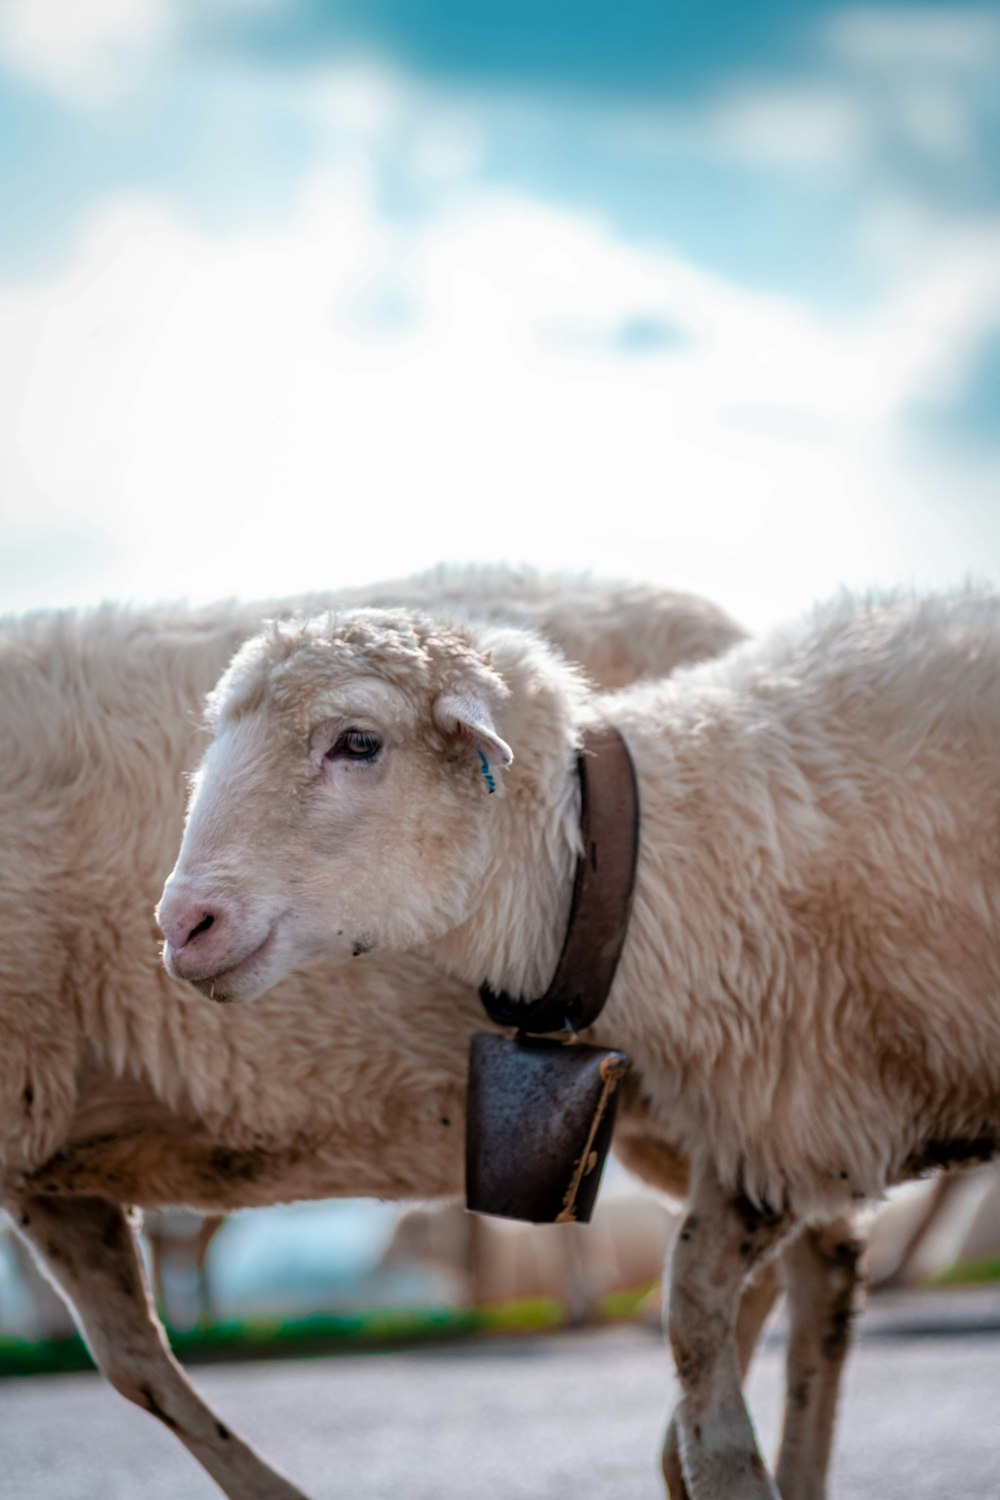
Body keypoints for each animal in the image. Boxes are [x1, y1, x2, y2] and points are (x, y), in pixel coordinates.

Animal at [160, 591, 1000, 1500]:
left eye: (358, 742)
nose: (182, 925)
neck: (645, 866)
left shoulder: (790, 1112)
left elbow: (692, 1309)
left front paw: (718, 1465)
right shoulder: (776, 1121)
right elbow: (695, 1305)